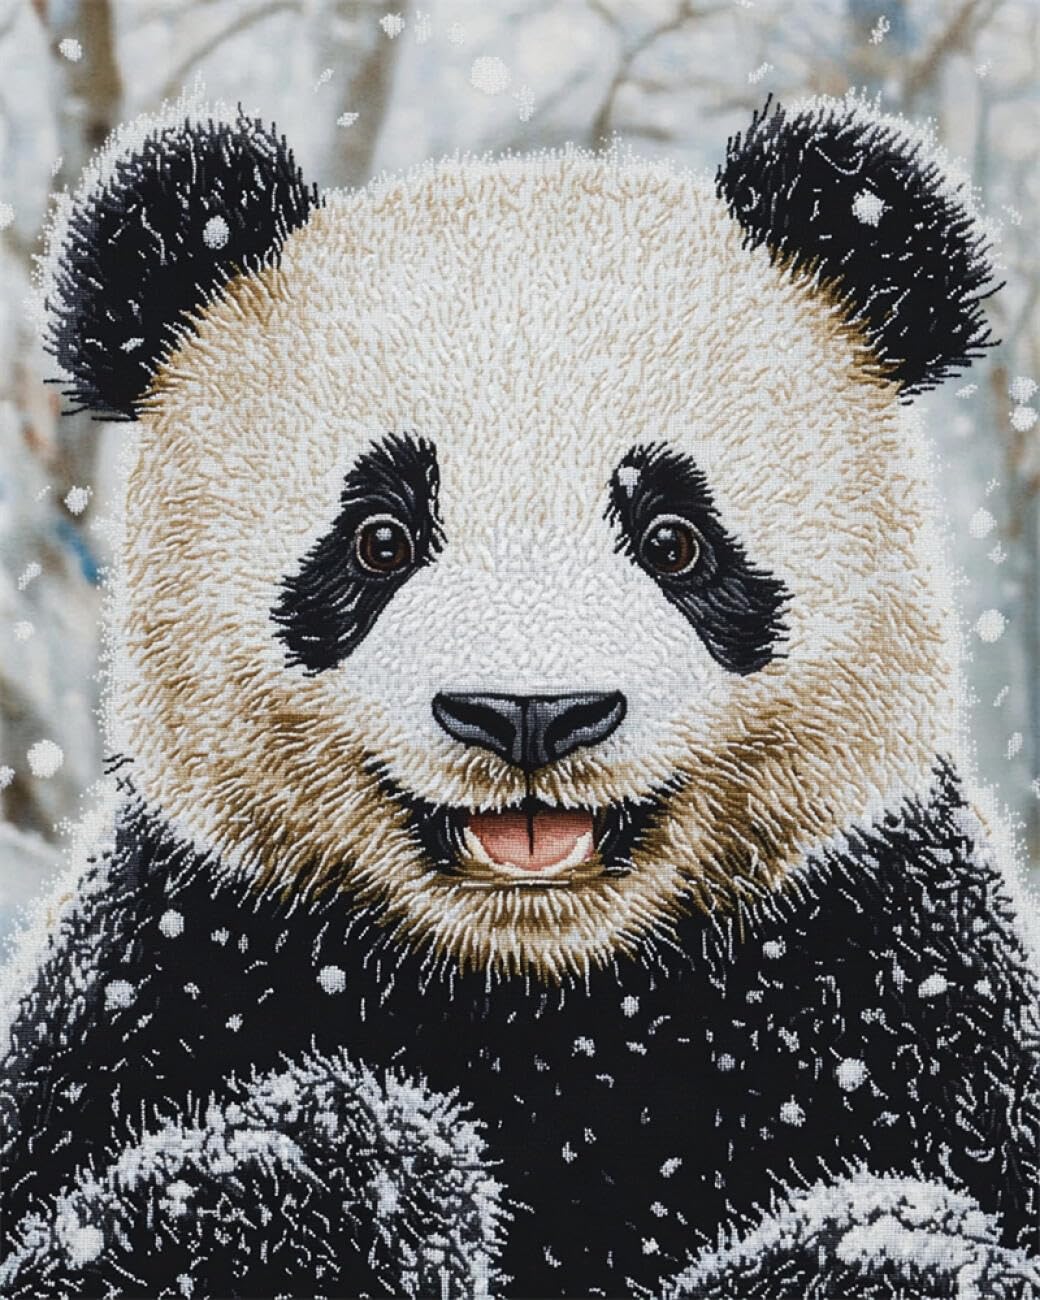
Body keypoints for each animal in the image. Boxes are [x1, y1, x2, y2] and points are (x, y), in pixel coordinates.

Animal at [1, 92, 1038, 1299]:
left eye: (674, 538)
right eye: (379, 538)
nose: (530, 711)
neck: (542, 984)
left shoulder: (897, 966)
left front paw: (869, 1247)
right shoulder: (170, 954)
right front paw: (369, 1171)